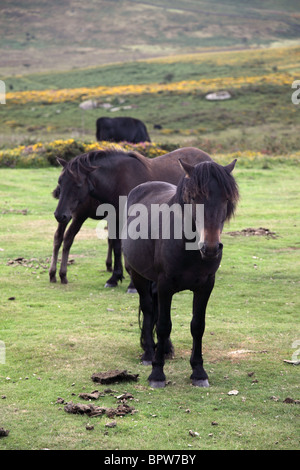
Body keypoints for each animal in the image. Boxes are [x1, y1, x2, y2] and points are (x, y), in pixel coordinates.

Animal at [51, 146, 211, 290]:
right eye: (60, 182)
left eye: (78, 185)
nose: (60, 214)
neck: (117, 181)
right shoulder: (114, 219)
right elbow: (116, 247)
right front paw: (115, 277)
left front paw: (132, 283)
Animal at [122, 158, 239, 386]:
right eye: (194, 198)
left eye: (226, 198)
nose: (210, 248)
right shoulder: (165, 285)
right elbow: (163, 324)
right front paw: (157, 374)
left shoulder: (205, 285)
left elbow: (198, 326)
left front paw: (199, 372)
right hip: (138, 276)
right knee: (148, 309)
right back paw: (149, 354)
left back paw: (165, 349)